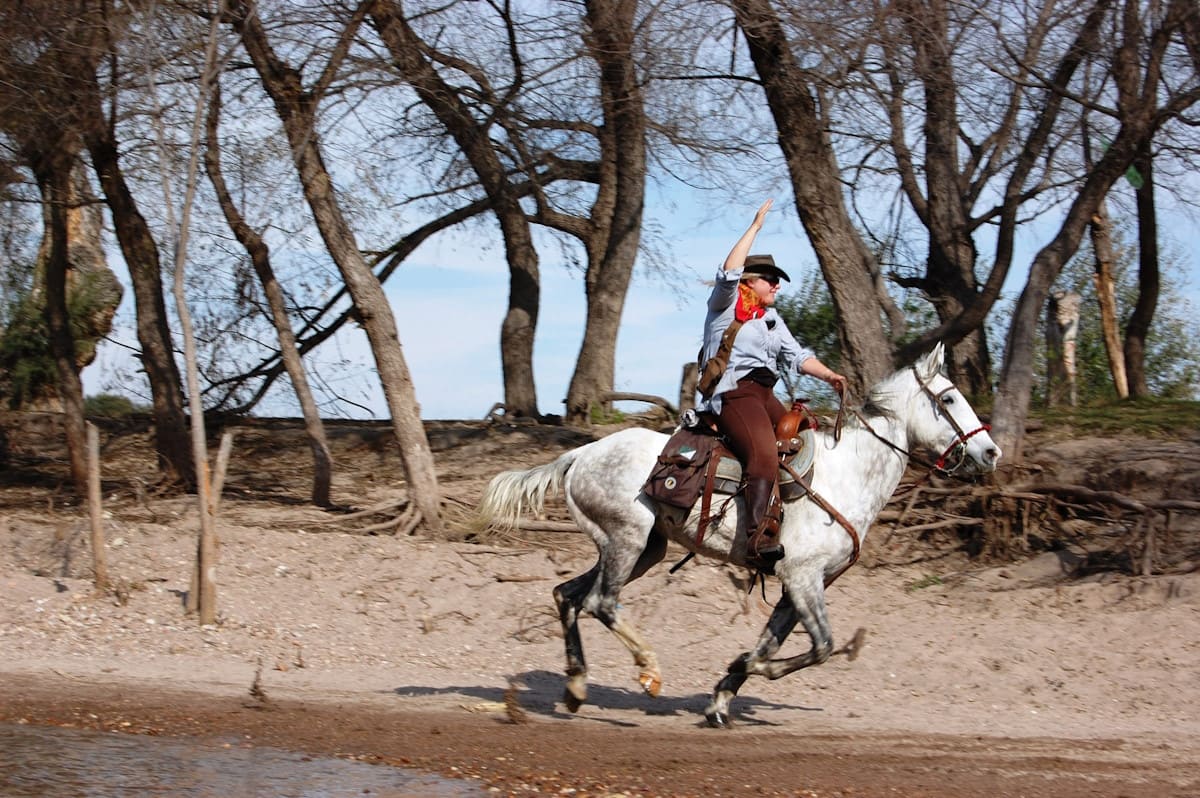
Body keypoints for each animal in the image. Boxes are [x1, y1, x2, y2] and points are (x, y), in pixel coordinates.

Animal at [472, 343, 998, 729]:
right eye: (949, 398)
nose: (990, 452)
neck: (846, 474)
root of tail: (580, 455)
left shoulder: (799, 586)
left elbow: (773, 642)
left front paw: (723, 697)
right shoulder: (803, 577)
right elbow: (819, 648)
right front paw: (743, 667)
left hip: (643, 548)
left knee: (569, 595)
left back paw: (577, 687)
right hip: (627, 540)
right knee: (602, 602)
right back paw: (649, 672)